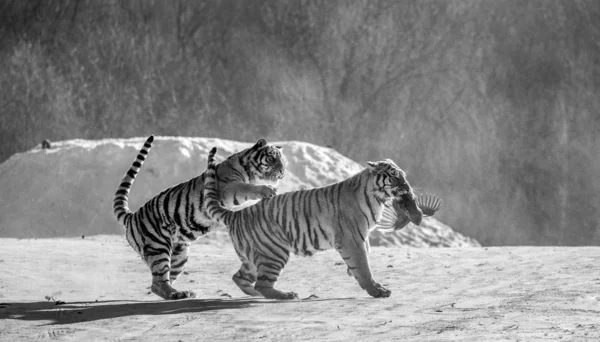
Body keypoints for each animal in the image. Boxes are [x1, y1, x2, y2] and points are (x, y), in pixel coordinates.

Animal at [113, 134, 286, 300]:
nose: (283, 171)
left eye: (282, 160)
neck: (250, 172)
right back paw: (176, 295)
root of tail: (132, 216)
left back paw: (181, 293)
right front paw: (267, 190)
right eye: (272, 158)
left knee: (162, 281)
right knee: (158, 282)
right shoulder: (228, 189)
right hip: (158, 247)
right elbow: (246, 187)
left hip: (179, 255)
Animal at [200, 147, 422, 300]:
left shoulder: (362, 236)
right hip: (274, 252)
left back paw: (255, 295)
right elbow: (364, 266)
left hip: (254, 257)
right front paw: (377, 290)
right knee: (262, 285)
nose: (408, 188)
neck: (378, 199)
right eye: (394, 177)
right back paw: (286, 295)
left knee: (240, 278)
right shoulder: (352, 239)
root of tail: (237, 215)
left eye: (403, 176)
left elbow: (365, 257)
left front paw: (357, 276)